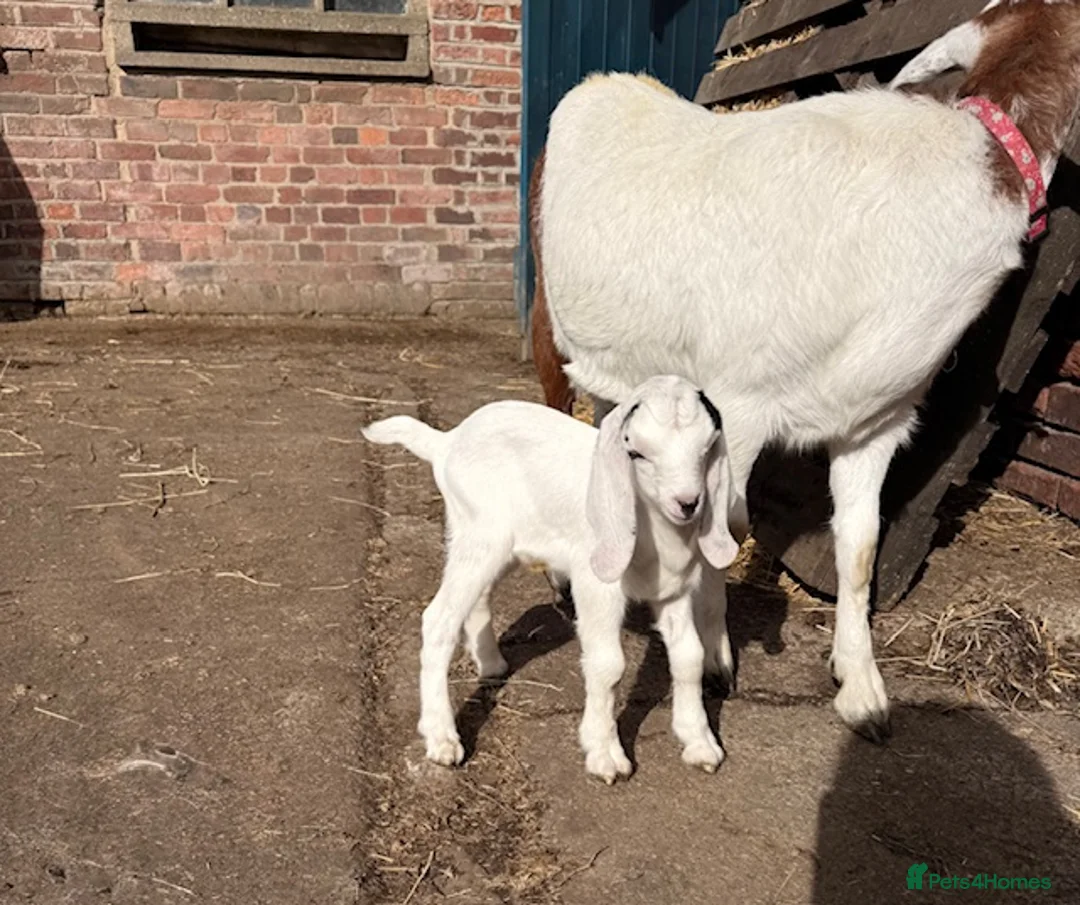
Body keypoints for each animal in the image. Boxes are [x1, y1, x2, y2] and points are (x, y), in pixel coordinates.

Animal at [361, 376, 740, 782]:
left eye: (707, 449)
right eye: (636, 453)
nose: (687, 503)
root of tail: (446, 443)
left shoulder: (675, 590)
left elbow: (689, 657)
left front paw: (699, 742)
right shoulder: (597, 586)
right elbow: (608, 665)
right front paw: (605, 753)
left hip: (499, 546)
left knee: (478, 597)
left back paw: (491, 664)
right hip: (480, 533)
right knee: (438, 619)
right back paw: (442, 737)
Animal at [529, 0, 1080, 742]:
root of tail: (603, 81)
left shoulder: (876, 421)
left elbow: (860, 546)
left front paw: (862, 687)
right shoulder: (738, 401)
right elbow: (726, 531)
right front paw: (715, 659)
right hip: (549, 316)